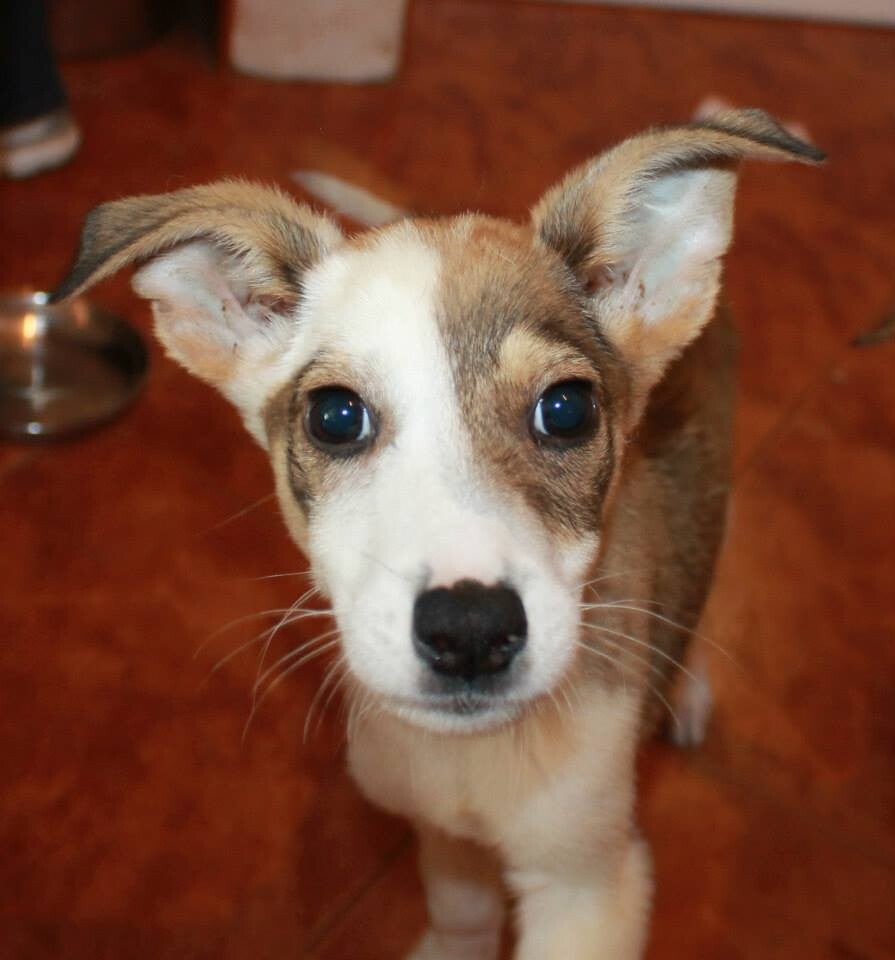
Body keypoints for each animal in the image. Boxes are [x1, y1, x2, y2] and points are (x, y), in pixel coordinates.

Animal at [55, 109, 822, 959]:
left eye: (567, 410)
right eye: (334, 417)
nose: (470, 631)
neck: (473, 762)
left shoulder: (590, 885)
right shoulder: (440, 831)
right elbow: (461, 909)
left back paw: (684, 688)